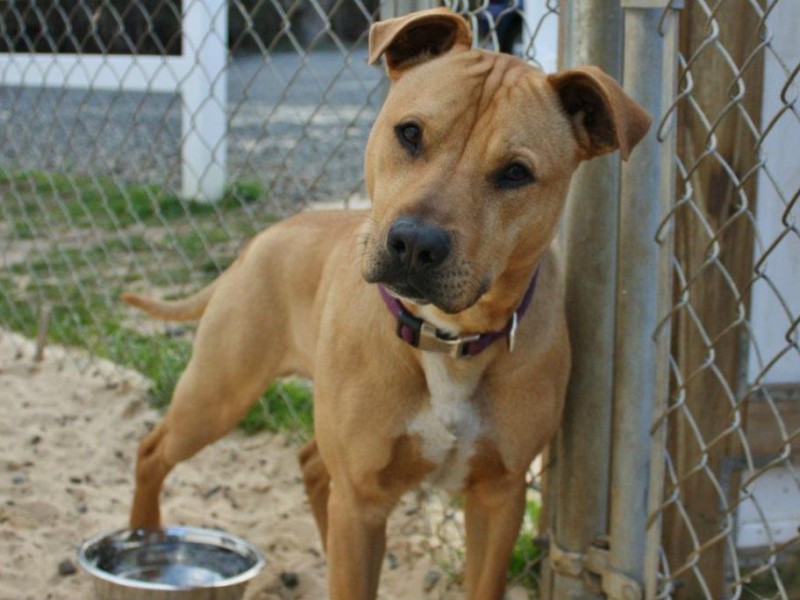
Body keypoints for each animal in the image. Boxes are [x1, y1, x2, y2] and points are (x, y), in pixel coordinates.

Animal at [123, 9, 648, 600]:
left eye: (516, 172)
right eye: (410, 132)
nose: (415, 244)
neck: (448, 338)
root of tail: (262, 239)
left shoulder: (499, 496)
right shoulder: (363, 498)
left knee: (310, 466)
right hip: (219, 392)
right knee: (152, 450)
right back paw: (142, 536)